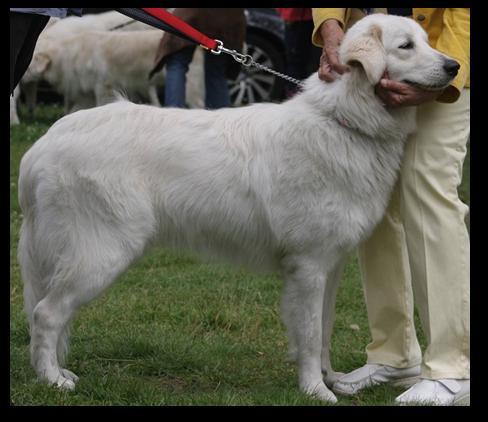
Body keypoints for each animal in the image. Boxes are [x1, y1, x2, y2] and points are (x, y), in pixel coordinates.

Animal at [15, 13, 458, 402]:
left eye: (427, 40)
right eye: (406, 46)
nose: (455, 66)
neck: (343, 121)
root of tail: (43, 144)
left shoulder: (329, 267)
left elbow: (324, 330)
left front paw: (330, 378)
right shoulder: (309, 267)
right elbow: (310, 335)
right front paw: (315, 391)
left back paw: (58, 371)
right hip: (102, 254)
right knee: (45, 314)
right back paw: (53, 381)